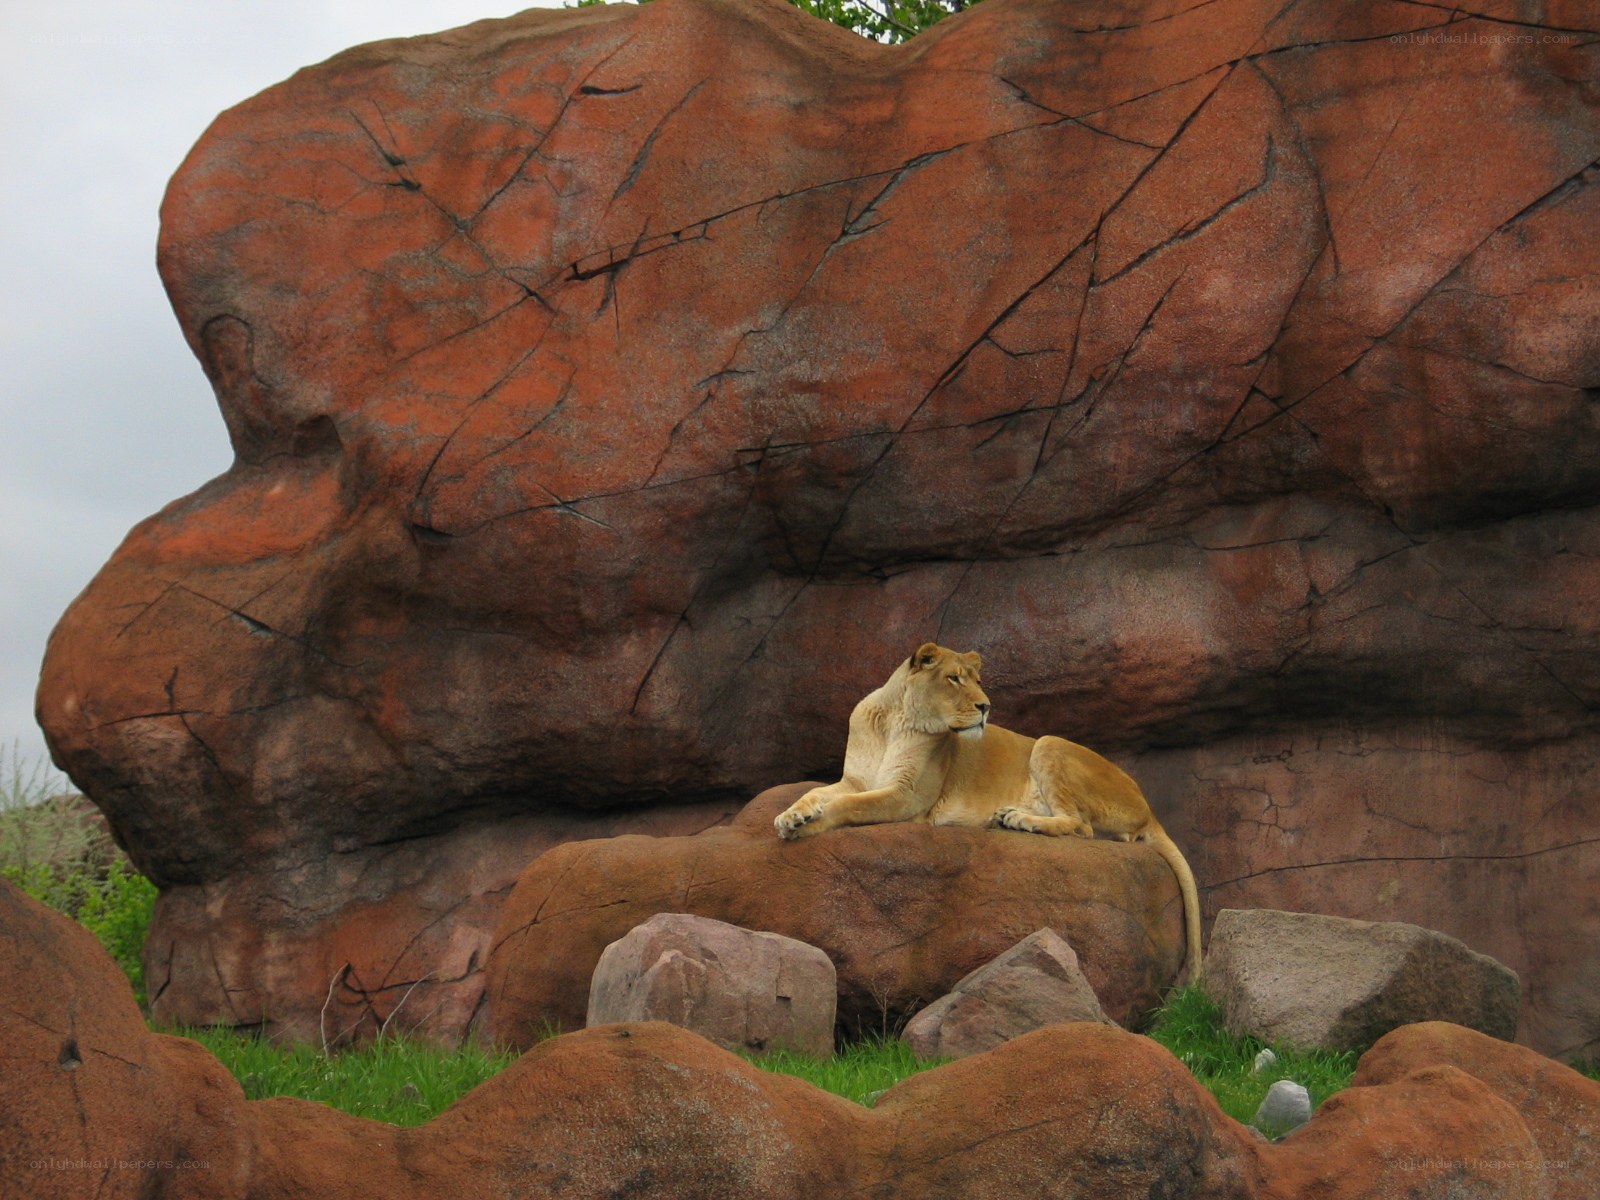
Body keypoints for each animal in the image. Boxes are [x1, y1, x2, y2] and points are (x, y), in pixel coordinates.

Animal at [774, 642, 1202, 980]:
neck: (894, 721)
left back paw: (1017, 819)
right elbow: (816, 791)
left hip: (1048, 742)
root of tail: (1148, 808)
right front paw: (791, 815)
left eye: (977, 681)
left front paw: (807, 827)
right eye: (953, 679)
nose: (986, 707)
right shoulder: (855, 780)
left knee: (1080, 826)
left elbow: (847, 805)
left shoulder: (907, 797)